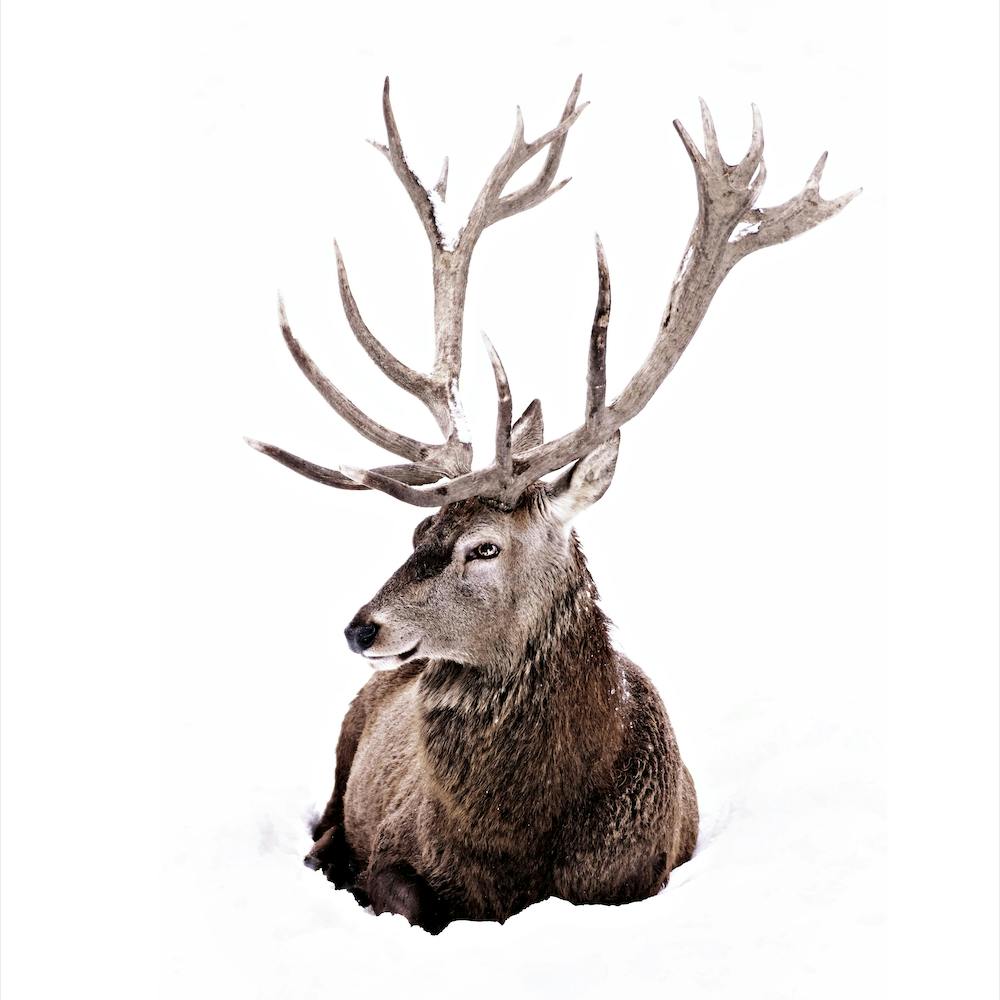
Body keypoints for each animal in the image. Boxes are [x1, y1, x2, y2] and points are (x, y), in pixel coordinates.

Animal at [247, 76, 858, 933]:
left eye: (484, 546)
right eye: (419, 526)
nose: (361, 626)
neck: (519, 845)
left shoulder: (641, 871)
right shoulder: (396, 846)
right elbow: (398, 892)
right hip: (345, 742)